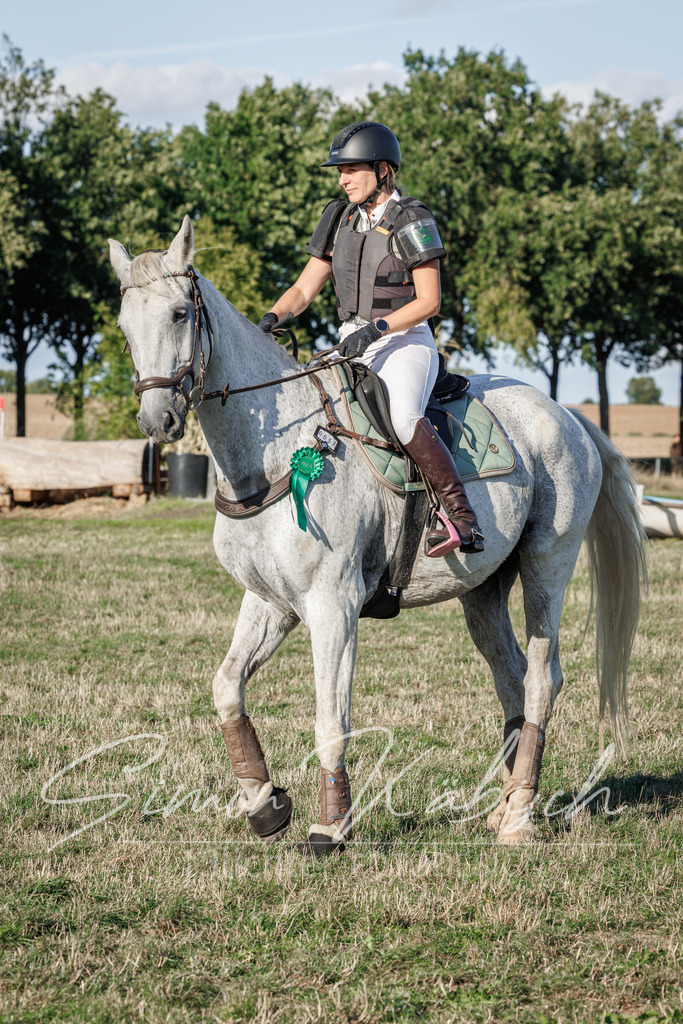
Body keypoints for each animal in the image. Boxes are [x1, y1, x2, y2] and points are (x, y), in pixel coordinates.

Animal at [109, 215, 647, 854]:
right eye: (125, 325)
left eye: (177, 314)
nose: (157, 421)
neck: (270, 457)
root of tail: (565, 414)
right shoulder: (269, 602)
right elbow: (226, 687)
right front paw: (265, 804)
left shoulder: (332, 604)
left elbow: (330, 718)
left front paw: (330, 826)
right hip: (483, 589)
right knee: (511, 676)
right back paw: (503, 806)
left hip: (548, 565)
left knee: (542, 677)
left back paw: (518, 819)